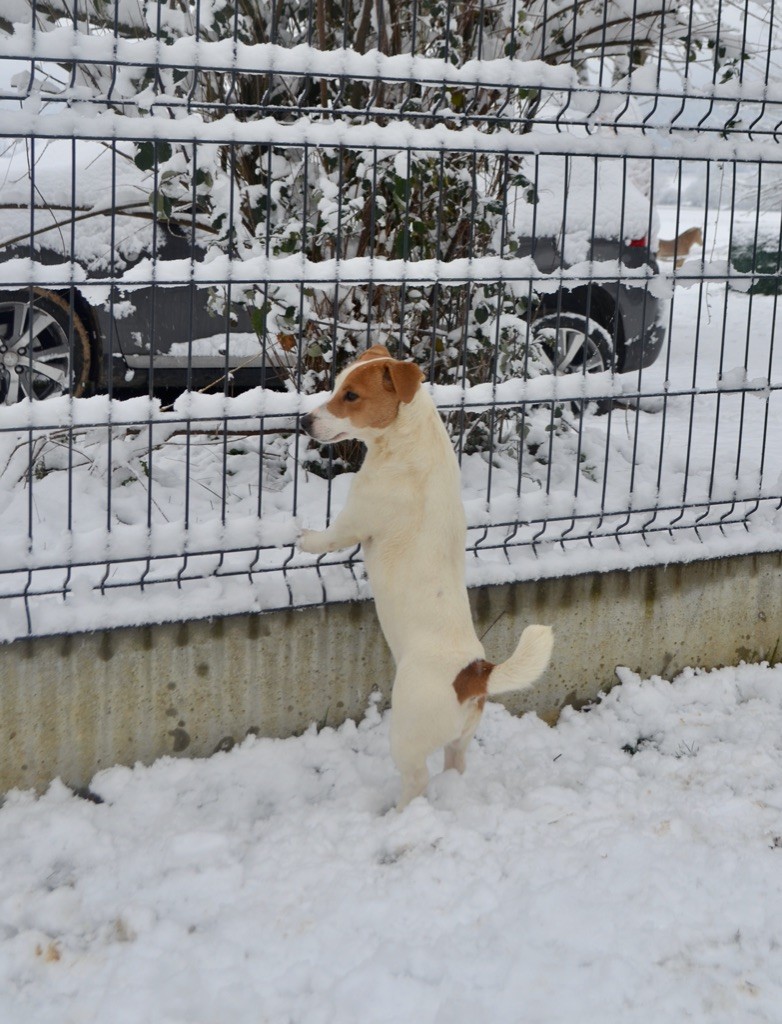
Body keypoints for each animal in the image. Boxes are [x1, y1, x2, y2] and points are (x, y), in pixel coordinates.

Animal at [296, 344, 552, 806]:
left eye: (351, 396)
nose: (304, 421)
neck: (409, 441)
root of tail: (474, 673)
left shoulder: (354, 522)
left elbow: (325, 538)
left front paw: (301, 537)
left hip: (407, 737)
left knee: (416, 782)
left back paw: (397, 815)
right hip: (461, 739)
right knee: (456, 764)